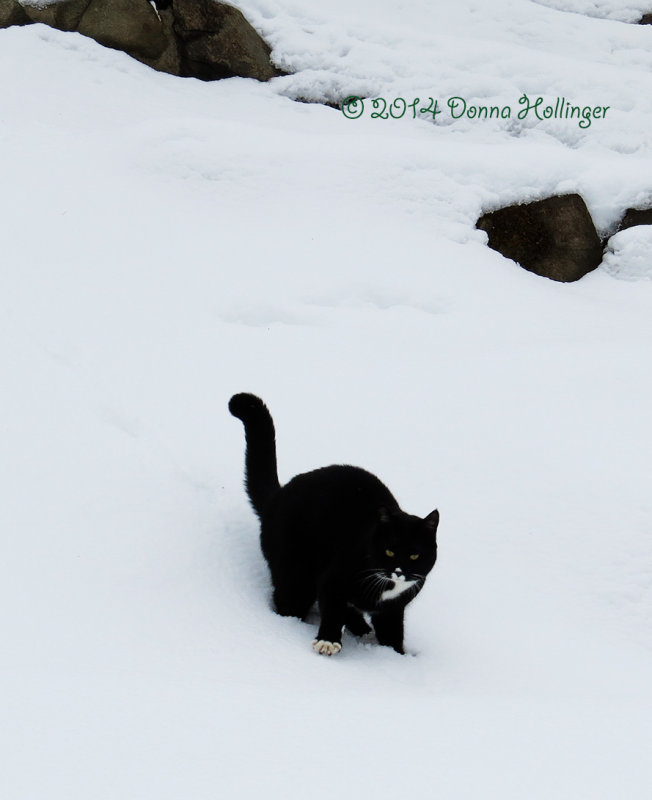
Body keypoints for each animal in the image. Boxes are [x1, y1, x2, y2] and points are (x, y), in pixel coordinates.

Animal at [229, 394, 438, 656]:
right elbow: (332, 608)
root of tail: (277, 497)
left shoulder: (392, 609)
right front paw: (327, 640)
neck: (387, 587)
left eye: (414, 555)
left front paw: (394, 657)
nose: (399, 570)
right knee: (288, 601)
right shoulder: (334, 579)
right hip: (295, 571)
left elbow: (392, 632)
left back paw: (360, 627)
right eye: (389, 551)